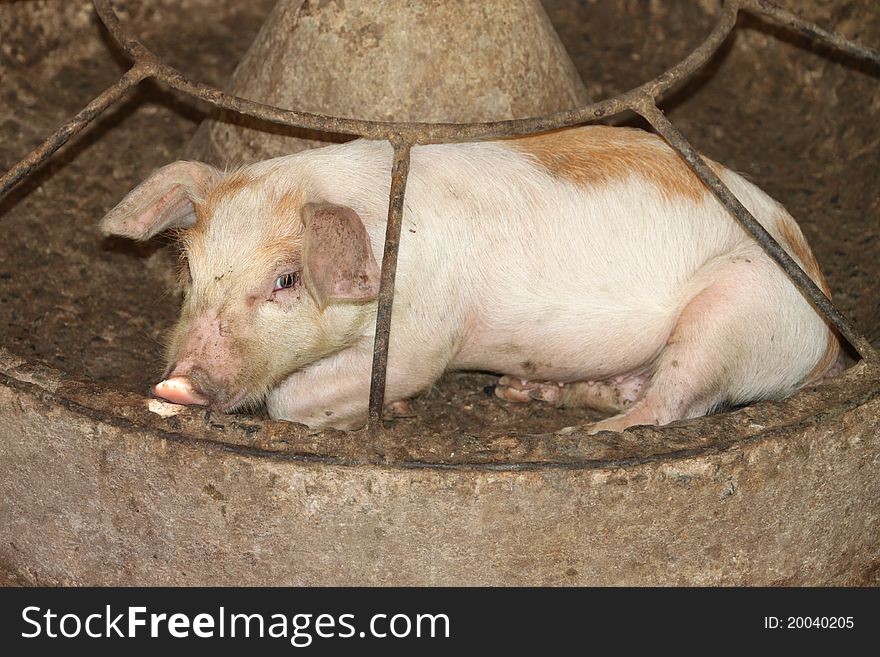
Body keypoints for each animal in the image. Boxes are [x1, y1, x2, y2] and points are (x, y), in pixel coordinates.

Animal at [101, 125, 840, 434]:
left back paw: (580, 437)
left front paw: (390, 413)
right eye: (189, 267)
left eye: (286, 279)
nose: (178, 380)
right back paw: (528, 394)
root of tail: (827, 332)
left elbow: (290, 402)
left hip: (738, 308)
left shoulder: (423, 338)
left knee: (676, 403)